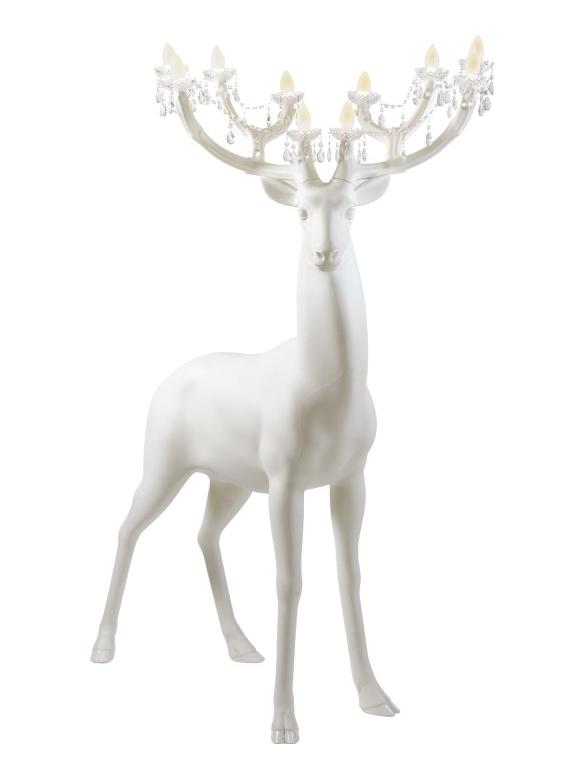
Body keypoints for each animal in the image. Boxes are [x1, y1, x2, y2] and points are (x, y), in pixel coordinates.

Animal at [92, 42, 487, 743]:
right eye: (302, 210)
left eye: (351, 210)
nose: (325, 253)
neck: (326, 392)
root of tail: (167, 378)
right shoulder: (284, 476)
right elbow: (289, 580)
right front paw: (282, 721)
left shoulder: (351, 474)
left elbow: (349, 575)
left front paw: (375, 697)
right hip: (165, 460)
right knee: (127, 526)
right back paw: (103, 646)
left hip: (228, 478)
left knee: (204, 534)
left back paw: (241, 645)